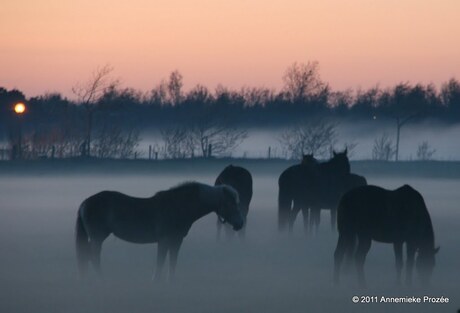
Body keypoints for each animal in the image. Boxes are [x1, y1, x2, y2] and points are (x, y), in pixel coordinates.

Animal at [74, 182, 244, 280]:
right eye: (230, 203)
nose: (240, 224)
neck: (178, 206)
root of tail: (84, 203)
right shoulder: (164, 241)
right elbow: (160, 262)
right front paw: (156, 281)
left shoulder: (176, 241)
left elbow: (172, 262)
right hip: (97, 238)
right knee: (93, 257)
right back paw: (101, 279)